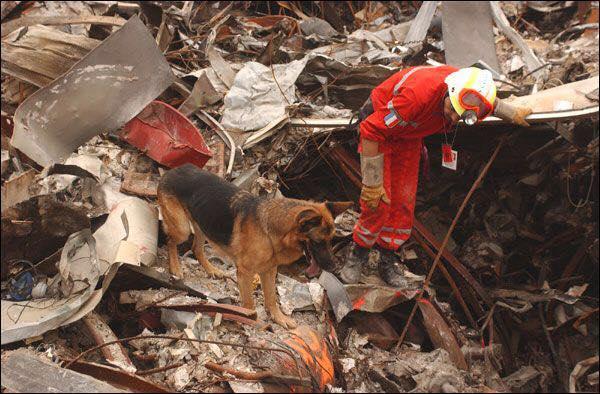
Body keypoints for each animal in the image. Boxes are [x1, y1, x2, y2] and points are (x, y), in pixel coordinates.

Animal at [157, 165, 352, 328]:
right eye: (318, 242)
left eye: (331, 240)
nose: (335, 268)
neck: (271, 232)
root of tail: (172, 170)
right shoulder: (245, 273)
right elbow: (250, 303)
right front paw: (251, 320)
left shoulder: (269, 271)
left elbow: (271, 298)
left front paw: (279, 318)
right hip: (182, 228)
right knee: (171, 241)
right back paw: (175, 267)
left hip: (202, 224)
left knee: (197, 249)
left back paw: (212, 269)